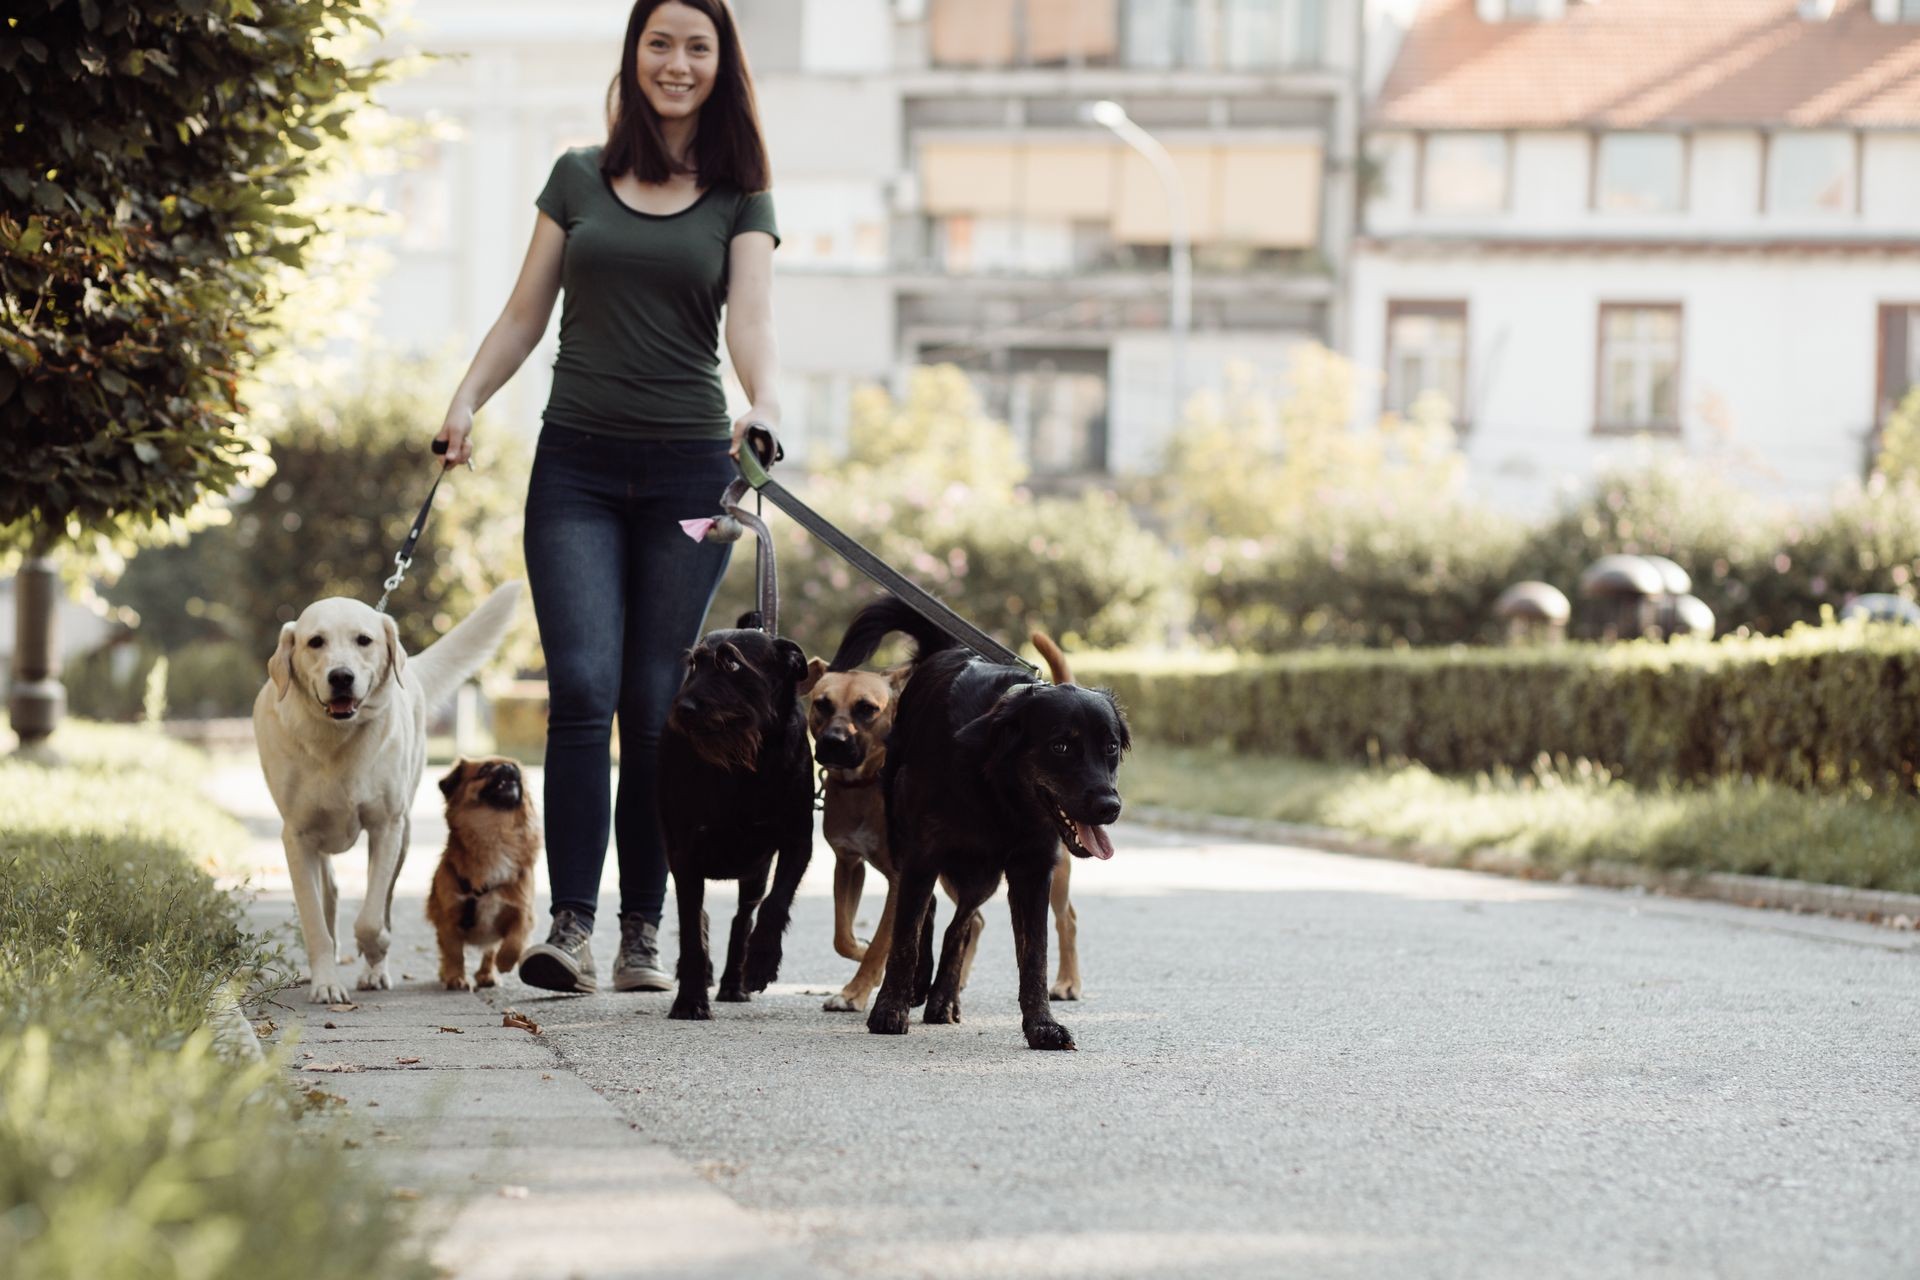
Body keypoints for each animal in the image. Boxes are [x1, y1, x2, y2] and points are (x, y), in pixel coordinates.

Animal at [424, 759, 537, 990]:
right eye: (484, 769)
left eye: (517, 770)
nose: (509, 767)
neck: (497, 831)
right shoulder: (448, 918)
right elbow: (454, 953)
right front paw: (455, 978)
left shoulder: (523, 911)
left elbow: (515, 941)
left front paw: (505, 962)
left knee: (490, 952)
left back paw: (487, 975)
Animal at [656, 621, 814, 1020]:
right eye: (694, 665)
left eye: (732, 664)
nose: (684, 708)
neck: (745, 765)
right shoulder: (684, 853)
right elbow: (691, 929)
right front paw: (690, 999)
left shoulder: (797, 842)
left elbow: (776, 903)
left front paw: (761, 961)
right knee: (701, 918)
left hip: (754, 872)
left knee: (743, 918)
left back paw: (734, 980)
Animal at [825, 594, 1121, 1043]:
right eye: (1061, 746)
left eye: (1111, 747)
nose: (1110, 806)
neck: (999, 789)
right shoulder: (921, 856)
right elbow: (906, 936)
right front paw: (890, 1009)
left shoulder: (1032, 869)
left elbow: (1033, 954)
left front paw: (1041, 1026)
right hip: (914, 847)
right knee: (932, 915)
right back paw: (922, 988)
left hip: (983, 873)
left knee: (964, 924)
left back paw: (944, 998)